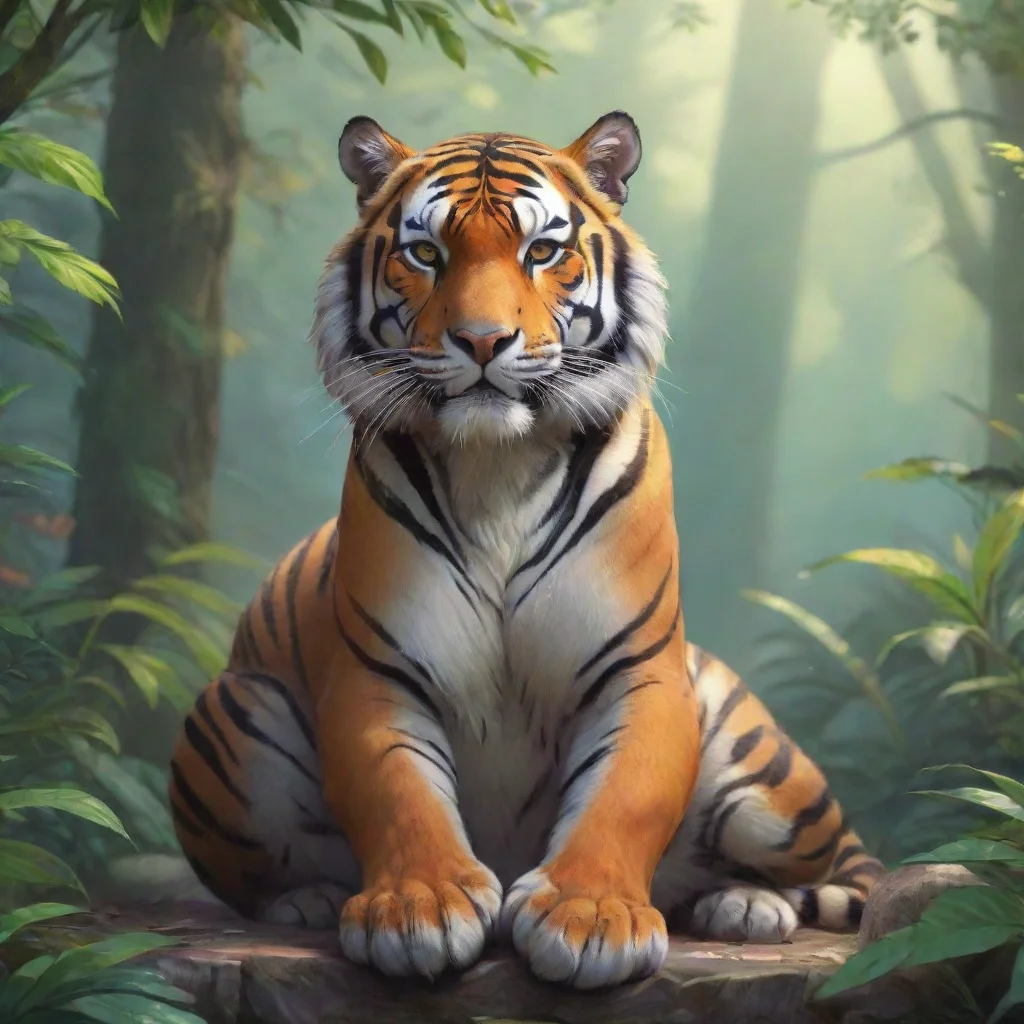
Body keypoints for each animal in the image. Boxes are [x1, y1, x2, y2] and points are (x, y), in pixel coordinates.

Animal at [169, 111, 884, 990]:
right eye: (426, 254)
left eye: (542, 250)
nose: (483, 341)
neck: (496, 464)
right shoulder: (378, 670)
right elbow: (396, 790)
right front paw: (419, 908)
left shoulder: (638, 669)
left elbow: (625, 797)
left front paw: (590, 918)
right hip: (234, 706)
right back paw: (306, 900)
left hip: (767, 784)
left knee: (840, 867)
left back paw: (748, 907)